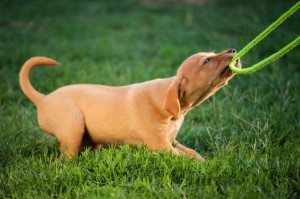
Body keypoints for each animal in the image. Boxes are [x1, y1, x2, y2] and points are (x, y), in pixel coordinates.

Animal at [19, 49, 241, 161]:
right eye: (207, 61)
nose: (233, 50)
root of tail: (43, 99)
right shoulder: (160, 144)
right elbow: (182, 158)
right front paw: (201, 168)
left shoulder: (172, 140)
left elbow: (192, 153)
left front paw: (205, 162)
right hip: (73, 126)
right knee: (66, 158)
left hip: (90, 135)